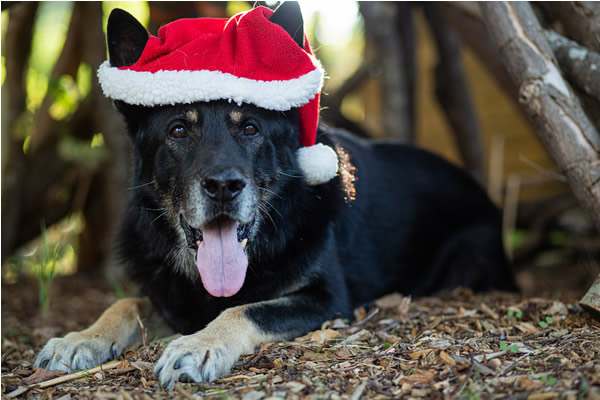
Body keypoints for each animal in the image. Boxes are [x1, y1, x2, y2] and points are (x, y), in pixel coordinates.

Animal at [34, 2, 516, 390]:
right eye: (178, 130)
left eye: (250, 128)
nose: (224, 187)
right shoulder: (169, 296)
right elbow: (125, 302)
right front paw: (80, 339)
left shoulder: (325, 300)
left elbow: (244, 310)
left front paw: (199, 346)